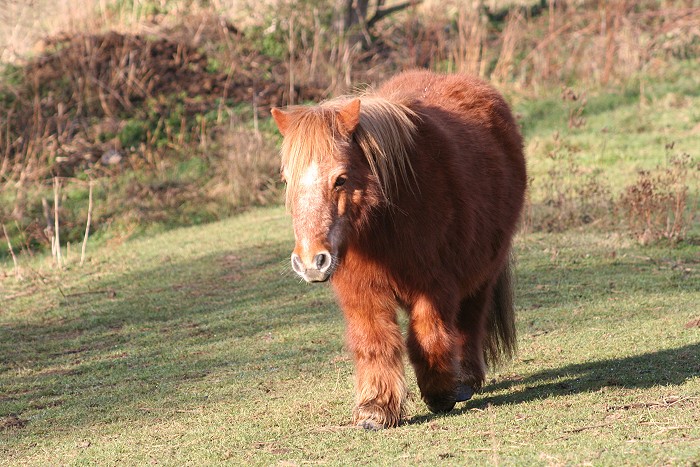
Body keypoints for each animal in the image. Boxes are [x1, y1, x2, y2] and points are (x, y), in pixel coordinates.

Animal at [270, 70, 528, 432]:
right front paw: (376, 409)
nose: (310, 262)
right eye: (286, 179)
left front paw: (440, 393)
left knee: (470, 321)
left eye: (340, 179)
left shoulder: (435, 288)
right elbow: (374, 343)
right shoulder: (361, 293)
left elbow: (427, 337)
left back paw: (465, 380)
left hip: (484, 270)